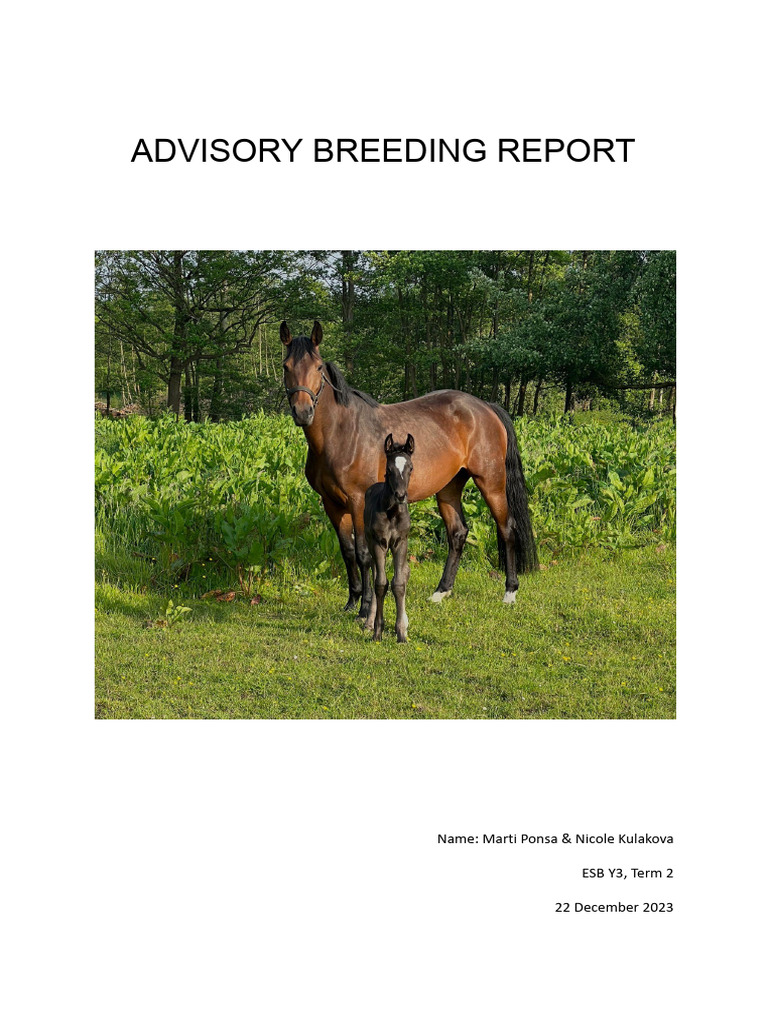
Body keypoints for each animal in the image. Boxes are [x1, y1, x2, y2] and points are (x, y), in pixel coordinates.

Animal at [281, 320, 537, 618]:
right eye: (286, 366)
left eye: (318, 366)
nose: (303, 412)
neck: (341, 433)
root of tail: (486, 407)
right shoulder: (332, 504)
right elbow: (347, 552)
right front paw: (351, 601)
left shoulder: (358, 502)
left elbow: (363, 554)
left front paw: (365, 608)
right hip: (448, 488)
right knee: (457, 533)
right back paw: (441, 591)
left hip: (491, 482)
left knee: (507, 528)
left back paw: (510, 592)